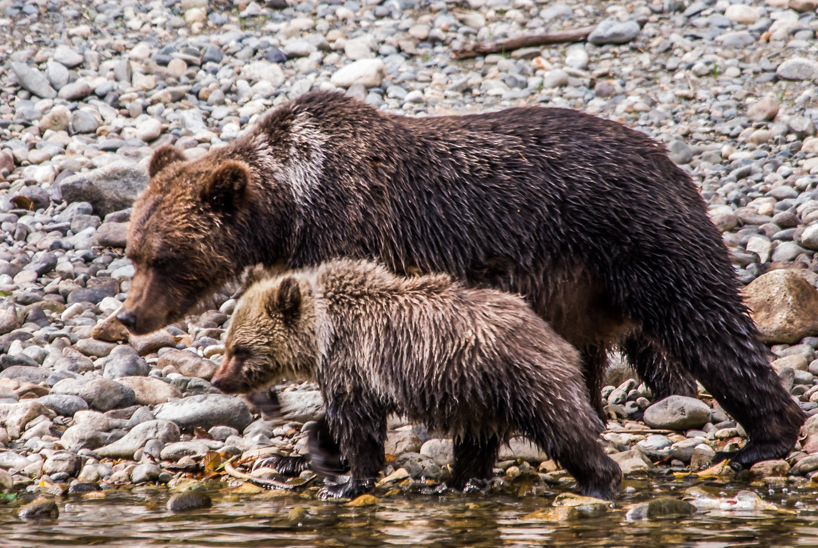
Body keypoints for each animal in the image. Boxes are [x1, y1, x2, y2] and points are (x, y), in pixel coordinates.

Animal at [116, 90, 805, 470]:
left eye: (163, 257)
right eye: (133, 251)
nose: (127, 316)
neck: (292, 206)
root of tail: (668, 157)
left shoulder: (356, 235)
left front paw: (317, 444)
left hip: (639, 236)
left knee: (707, 324)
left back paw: (762, 439)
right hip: (582, 283)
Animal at [210, 259, 624, 500]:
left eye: (240, 350)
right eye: (228, 345)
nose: (218, 380)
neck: (323, 335)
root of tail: (554, 337)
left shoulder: (355, 360)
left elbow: (358, 429)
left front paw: (344, 484)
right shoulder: (355, 373)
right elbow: (339, 421)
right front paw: (295, 456)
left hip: (520, 379)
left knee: (564, 431)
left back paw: (601, 482)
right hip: (479, 397)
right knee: (476, 444)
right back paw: (456, 482)